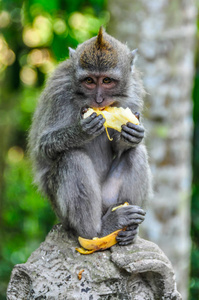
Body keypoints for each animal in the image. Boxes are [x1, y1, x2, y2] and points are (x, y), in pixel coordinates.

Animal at [29, 26, 151, 246]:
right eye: (89, 81)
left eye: (107, 80)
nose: (99, 99)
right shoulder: (58, 91)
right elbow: (43, 146)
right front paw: (82, 131)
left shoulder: (134, 89)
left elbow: (125, 146)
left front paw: (132, 135)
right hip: (62, 212)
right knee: (71, 158)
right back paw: (97, 231)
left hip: (109, 199)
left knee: (136, 153)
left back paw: (128, 230)